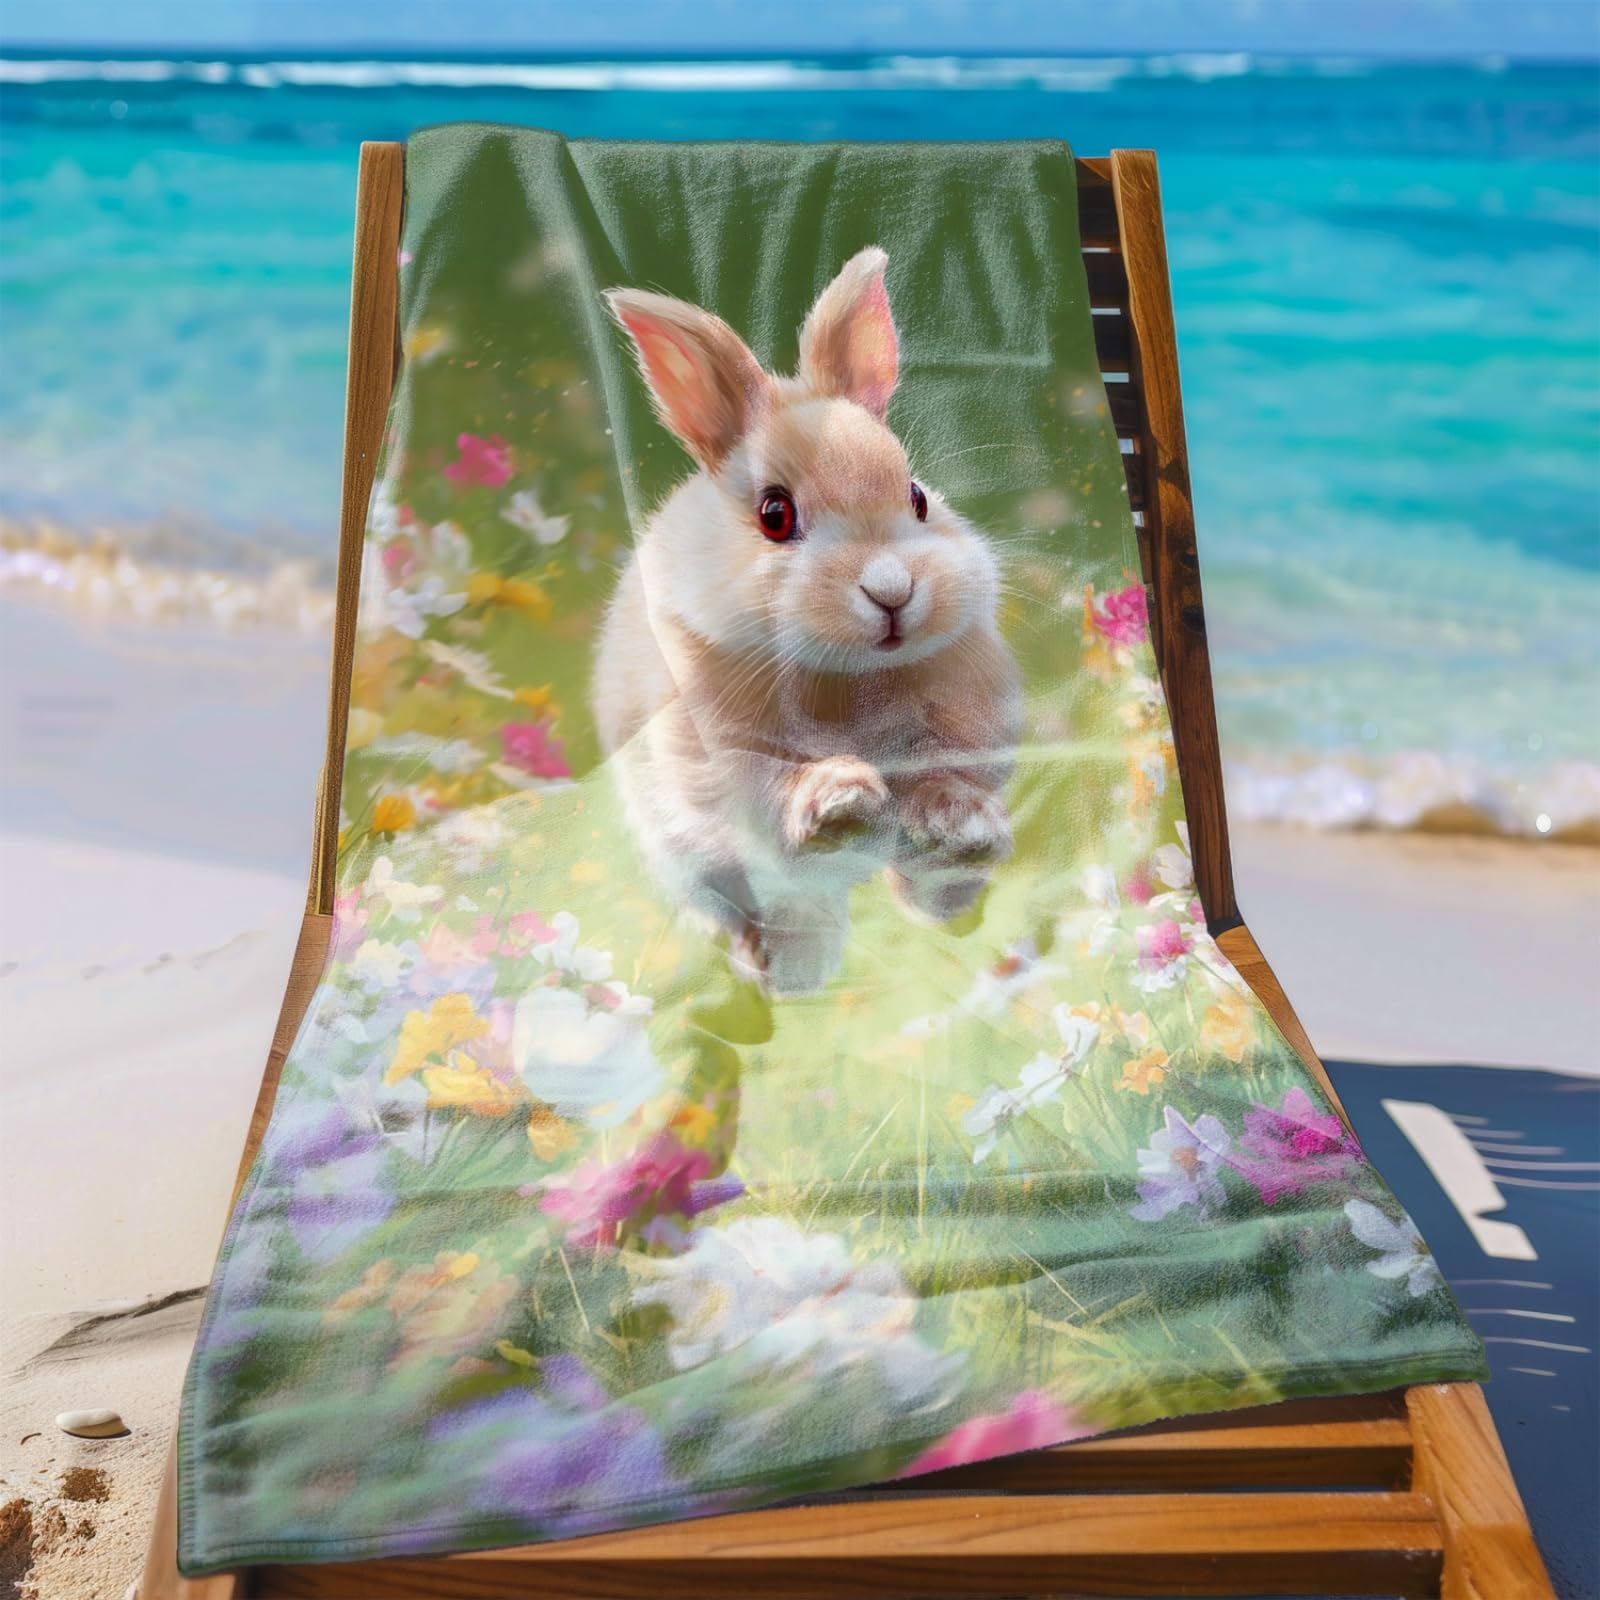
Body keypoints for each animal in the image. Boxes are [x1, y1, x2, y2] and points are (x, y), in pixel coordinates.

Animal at [594, 246, 1022, 996]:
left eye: (916, 498)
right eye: (775, 514)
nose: (891, 589)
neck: (849, 682)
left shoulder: (968, 713)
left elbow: (949, 774)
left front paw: (955, 820)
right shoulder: (717, 753)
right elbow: (773, 800)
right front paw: (843, 795)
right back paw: (776, 967)